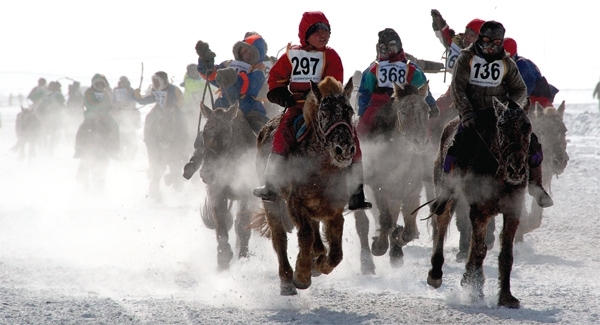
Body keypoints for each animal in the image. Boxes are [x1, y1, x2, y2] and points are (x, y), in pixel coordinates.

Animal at [198, 100, 262, 268]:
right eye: (204, 133)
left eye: (226, 134)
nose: (206, 173)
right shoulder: (216, 193)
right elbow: (221, 225)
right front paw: (223, 256)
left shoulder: (247, 194)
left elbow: (242, 225)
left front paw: (243, 256)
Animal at [250, 75, 356, 294]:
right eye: (324, 112)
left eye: (349, 111)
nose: (344, 149)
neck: (322, 169)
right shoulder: (295, 203)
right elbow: (305, 235)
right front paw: (301, 275)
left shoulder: (334, 210)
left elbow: (336, 253)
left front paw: (321, 264)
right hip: (272, 202)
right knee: (279, 238)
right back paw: (286, 280)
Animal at [352, 81, 432, 274]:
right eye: (403, 112)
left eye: (427, 110)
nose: (420, 142)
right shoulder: (379, 188)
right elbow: (386, 220)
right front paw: (378, 246)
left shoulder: (412, 190)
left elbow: (408, 229)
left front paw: (397, 240)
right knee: (363, 224)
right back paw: (367, 263)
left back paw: (395, 251)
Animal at [428, 97, 532, 308]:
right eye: (501, 126)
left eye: (527, 126)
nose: (516, 168)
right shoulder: (480, 211)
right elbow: (478, 250)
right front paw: (473, 289)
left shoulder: (513, 211)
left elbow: (505, 255)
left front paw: (506, 296)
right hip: (447, 191)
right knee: (441, 222)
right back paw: (435, 273)